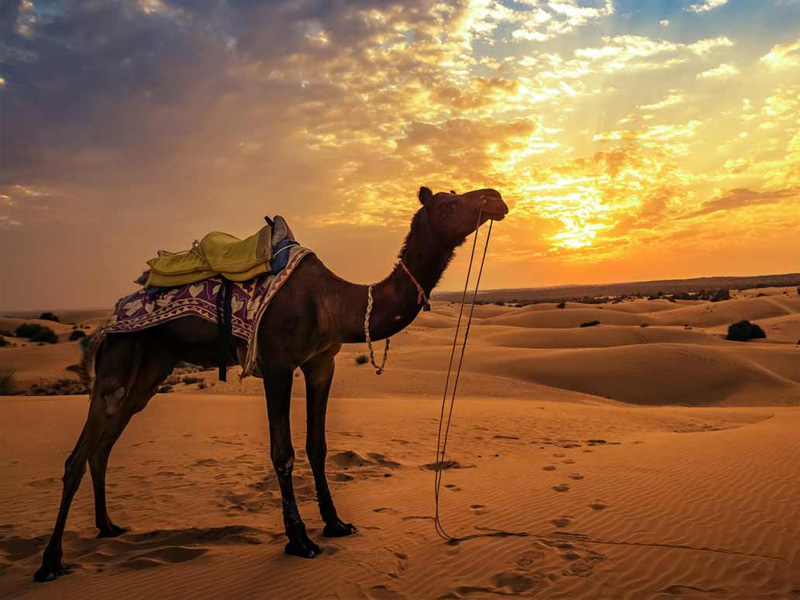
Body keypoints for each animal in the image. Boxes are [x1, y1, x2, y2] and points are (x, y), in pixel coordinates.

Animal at [34, 186, 508, 581]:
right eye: (447, 203)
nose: (497, 198)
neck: (337, 301)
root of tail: (116, 310)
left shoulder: (321, 363)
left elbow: (318, 446)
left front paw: (336, 523)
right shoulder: (278, 364)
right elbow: (283, 452)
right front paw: (299, 540)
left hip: (154, 365)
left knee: (105, 444)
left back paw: (107, 526)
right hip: (120, 355)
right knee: (79, 454)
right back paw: (50, 562)